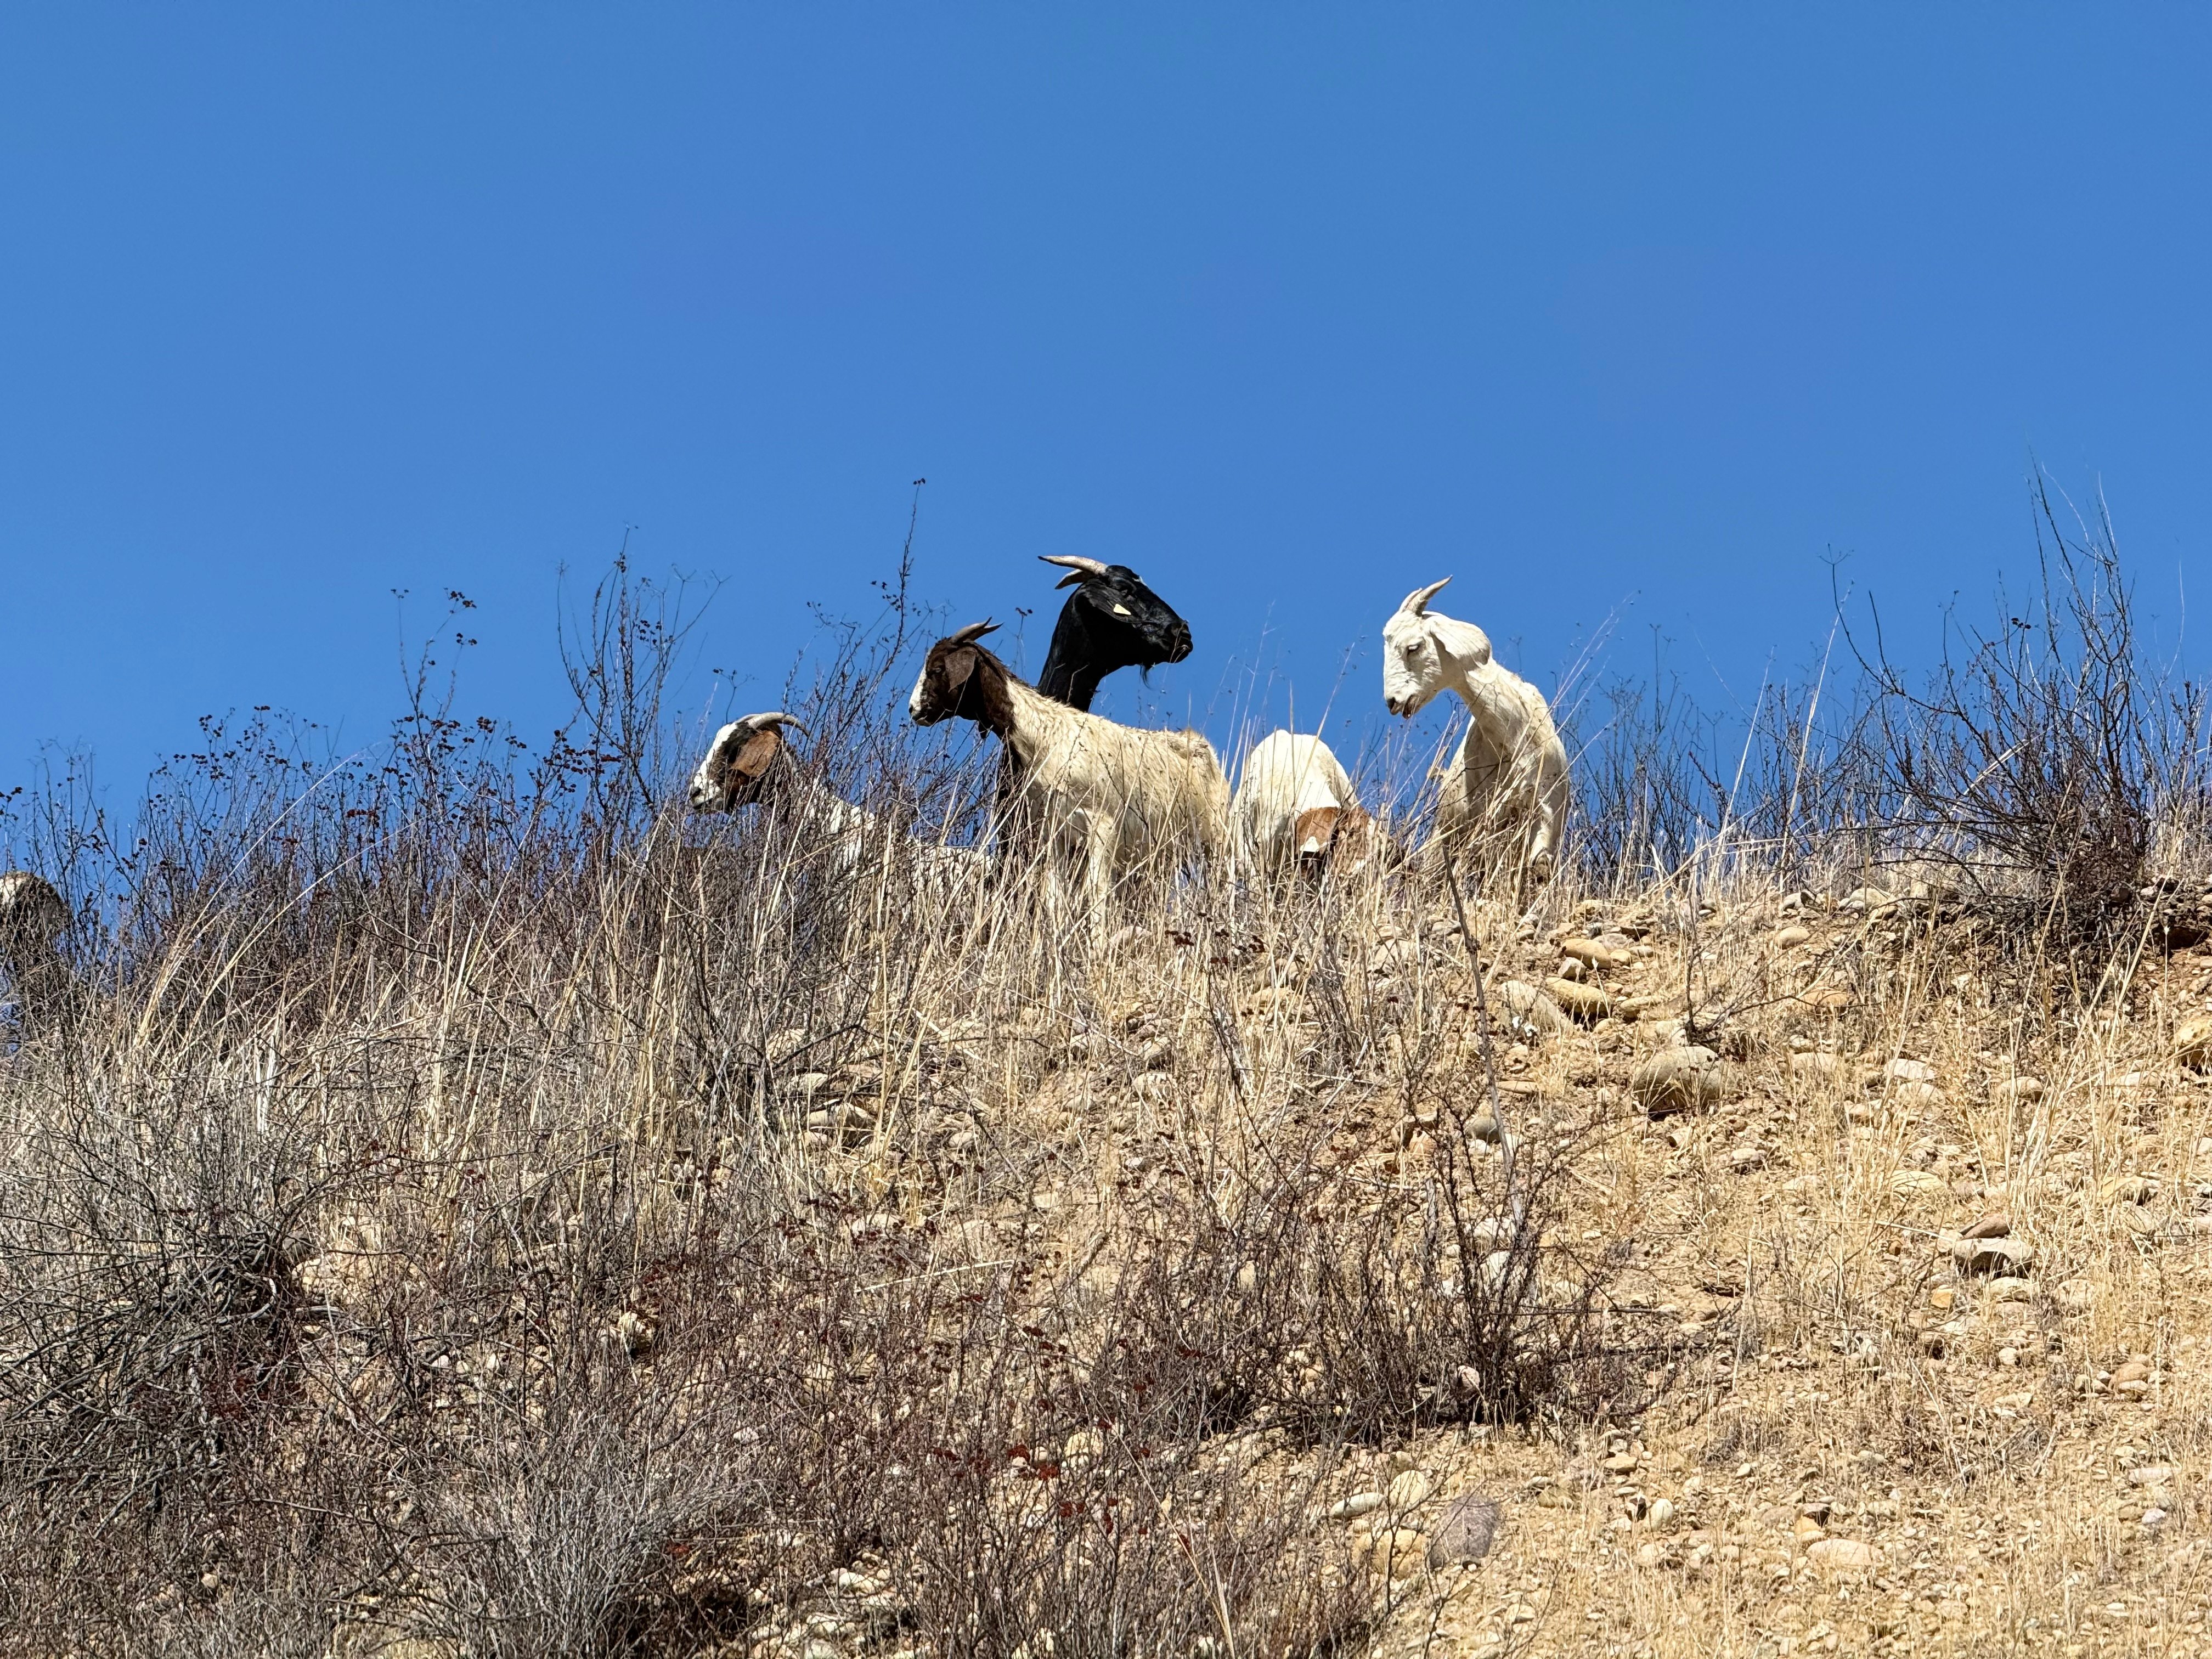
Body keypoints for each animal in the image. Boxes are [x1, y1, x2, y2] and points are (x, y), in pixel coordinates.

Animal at [908, 621, 1226, 917]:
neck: (1045, 735)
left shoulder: (1103, 826)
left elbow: (1096, 893)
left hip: (1217, 837)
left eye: (937, 669)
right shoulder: (1055, 835)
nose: (913, 710)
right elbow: (1054, 898)